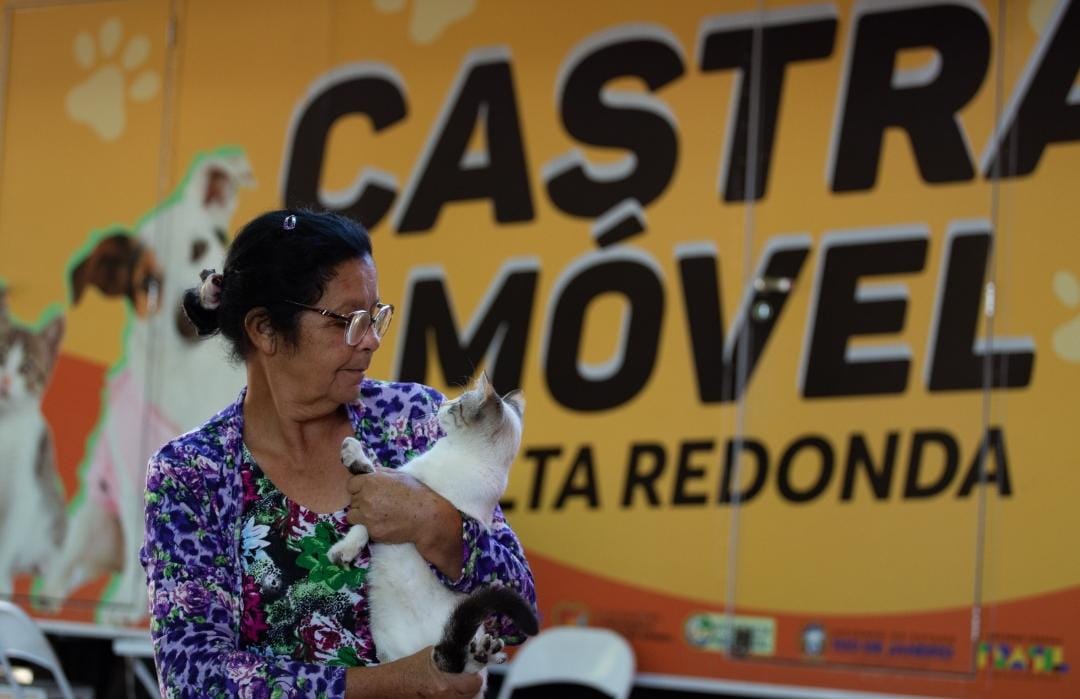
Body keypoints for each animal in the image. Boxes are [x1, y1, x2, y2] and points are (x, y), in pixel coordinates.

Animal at [324, 373, 535, 687]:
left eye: (457, 404)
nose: (443, 403)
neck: (472, 461)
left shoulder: (402, 482)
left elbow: (369, 480)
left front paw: (354, 454)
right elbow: (364, 517)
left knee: (462, 665)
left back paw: (482, 652)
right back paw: (484, 651)